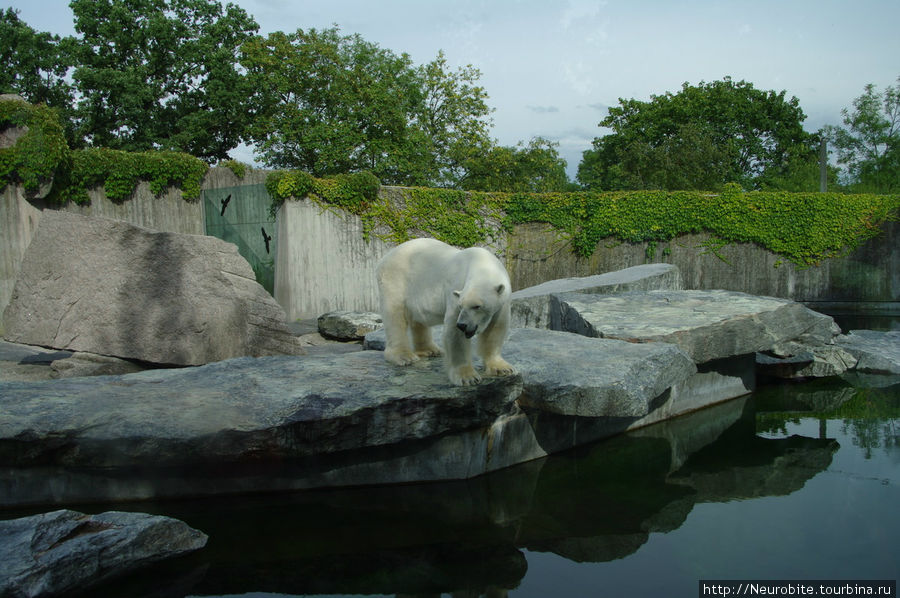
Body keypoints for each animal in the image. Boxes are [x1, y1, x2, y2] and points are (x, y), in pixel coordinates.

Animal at [372, 237, 512, 386]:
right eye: (461, 306)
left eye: (477, 306)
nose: (462, 325)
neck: (483, 265)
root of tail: (383, 259)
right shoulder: (456, 289)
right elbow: (454, 334)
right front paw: (468, 377)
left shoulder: (503, 301)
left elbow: (495, 330)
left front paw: (502, 368)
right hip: (395, 279)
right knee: (394, 315)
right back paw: (404, 356)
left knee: (418, 320)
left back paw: (431, 350)